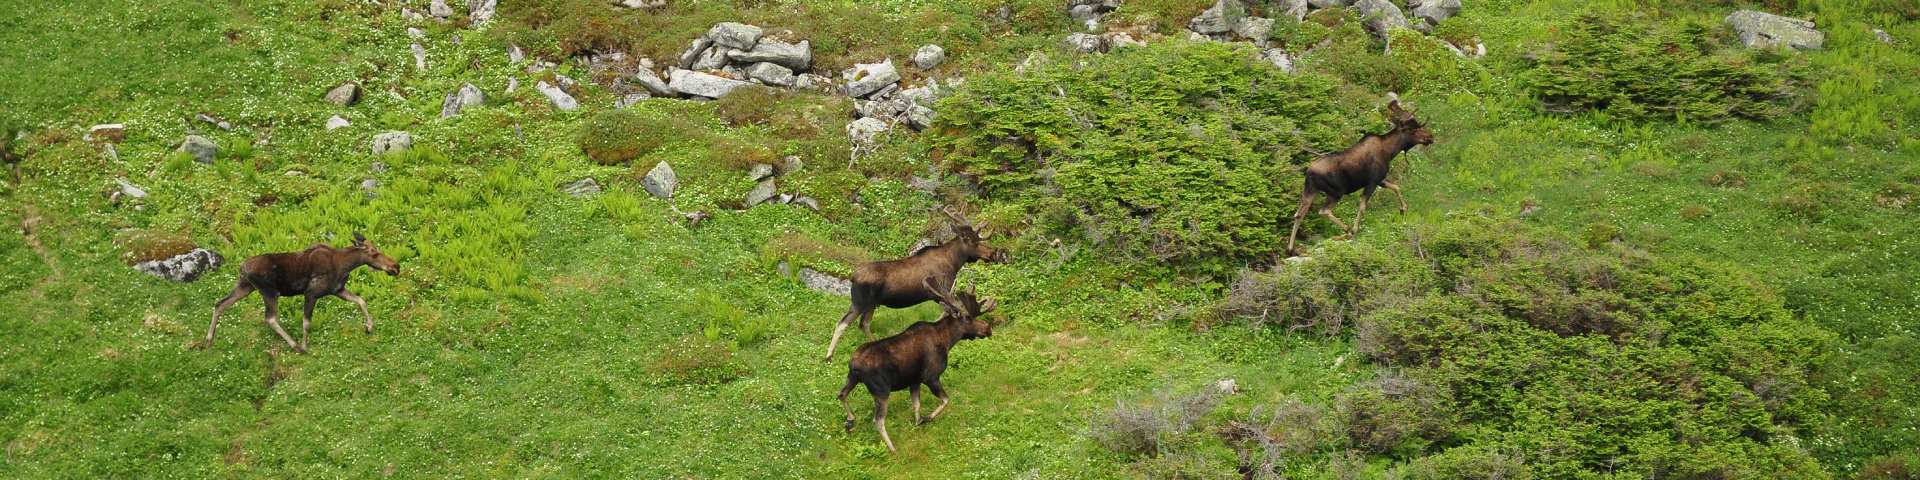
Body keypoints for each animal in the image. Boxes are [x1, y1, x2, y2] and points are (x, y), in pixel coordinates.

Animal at [200, 232, 399, 353]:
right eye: (374, 252)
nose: (395, 266)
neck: (345, 265)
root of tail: (241, 268)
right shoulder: (311, 293)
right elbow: (306, 323)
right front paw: (305, 345)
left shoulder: (338, 290)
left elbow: (361, 301)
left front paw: (369, 327)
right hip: (269, 291)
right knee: (270, 318)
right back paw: (296, 346)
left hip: (245, 287)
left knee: (220, 303)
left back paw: (208, 340)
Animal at [821, 206, 1013, 360]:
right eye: (972, 241)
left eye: (980, 240)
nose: (993, 253)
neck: (954, 262)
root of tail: (853, 277)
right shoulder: (941, 290)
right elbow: (945, 314)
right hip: (860, 302)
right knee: (842, 323)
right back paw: (829, 356)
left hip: (872, 304)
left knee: (864, 324)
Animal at [837, 276, 1006, 451]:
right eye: (969, 318)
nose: (988, 329)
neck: (948, 341)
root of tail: (854, 365)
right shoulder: (930, 376)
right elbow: (946, 400)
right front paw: (927, 418)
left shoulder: (914, 381)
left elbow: (916, 405)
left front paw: (918, 421)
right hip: (881, 390)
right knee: (878, 420)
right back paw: (893, 450)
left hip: (852, 378)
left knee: (841, 394)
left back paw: (850, 421)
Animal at [1282, 95, 1436, 257]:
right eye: (1413, 129)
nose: (1430, 137)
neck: (1390, 152)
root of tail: (1309, 172)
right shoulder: (1372, 181)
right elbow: (1363, 206)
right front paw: (1355, 229)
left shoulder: (1380, 179)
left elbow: (1396, 187)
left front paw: (1403, 208)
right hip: (1336, 192)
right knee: (1324, 211)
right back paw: (1347, 230)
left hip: (1310, 190)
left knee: (1299, 214)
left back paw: (1291, 249)